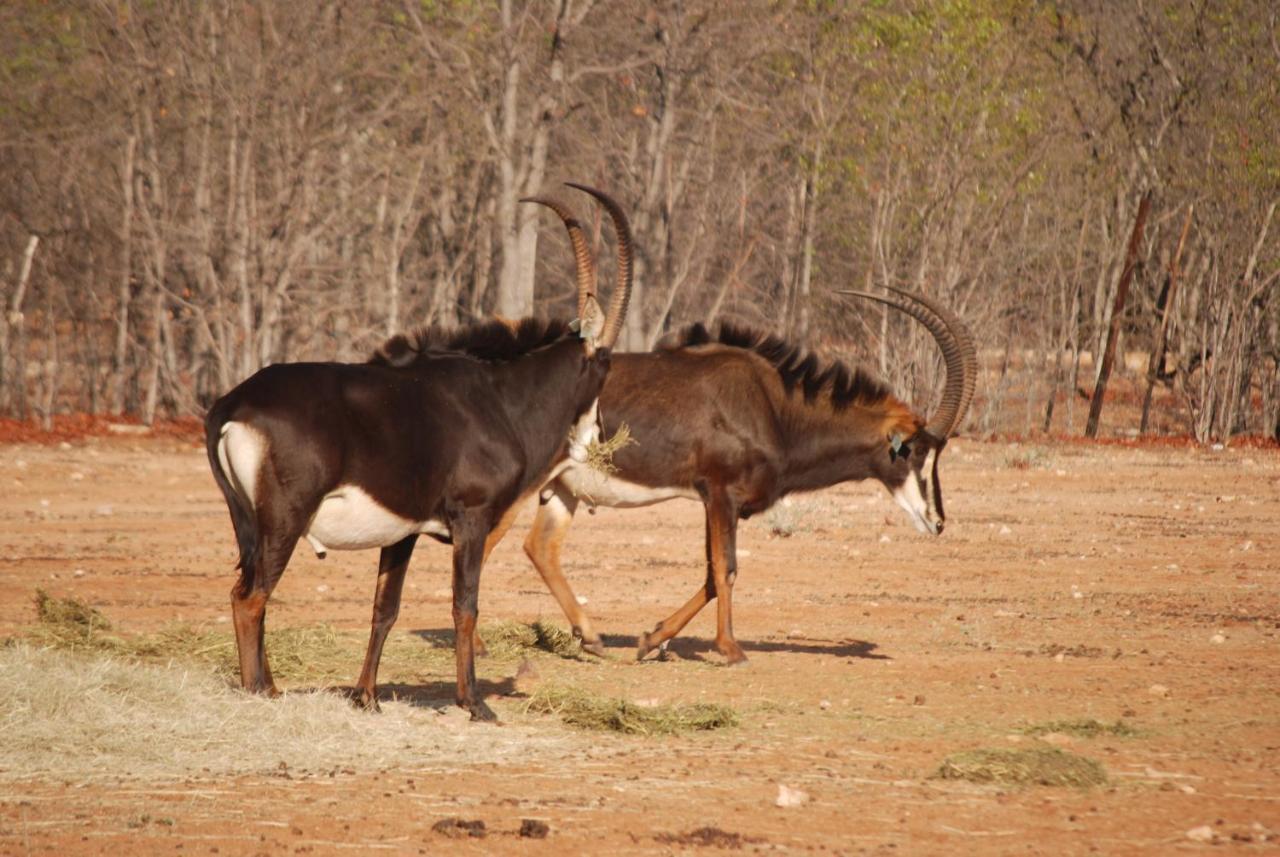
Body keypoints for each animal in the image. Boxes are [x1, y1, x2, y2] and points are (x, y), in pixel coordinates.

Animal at [200, 184, 634, 721]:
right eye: (604, 366)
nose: (595, 438)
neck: (500, 397)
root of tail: (232, 405)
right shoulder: (471, 519)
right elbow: (465, 606)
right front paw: (474, 702)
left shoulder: (401, 533)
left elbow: (385, 610)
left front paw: (366, 697)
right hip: (284, 518)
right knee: (250, 597)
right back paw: (257, 691)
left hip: (249, 522)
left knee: (252, 589)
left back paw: (274, 687)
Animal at [506, 289, 967, 665]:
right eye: (917, 451)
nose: (938, 521)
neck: (772, 408)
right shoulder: (722, 493)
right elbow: (725, 569)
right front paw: (730, 649)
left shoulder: (714, 501)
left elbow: (711, 575)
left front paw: (652, 639)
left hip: (562, 490)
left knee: (539, 547)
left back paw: (590, 637)